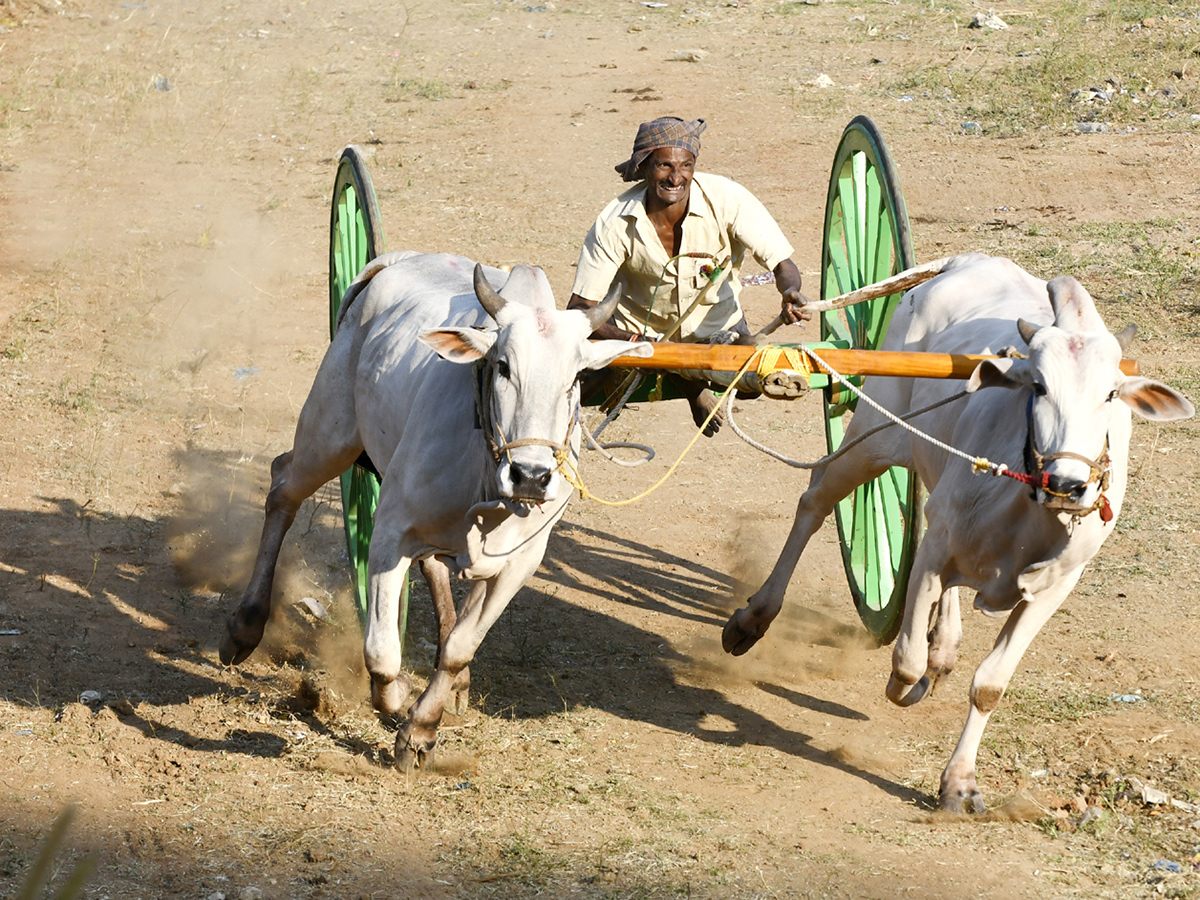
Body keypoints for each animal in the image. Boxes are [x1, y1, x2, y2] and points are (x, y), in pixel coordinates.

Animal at [216, 252, 648, 768]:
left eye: (576, 378)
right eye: (503, 366)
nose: (530, 476)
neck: (485, 472)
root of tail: (398, 259)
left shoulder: (520, 563)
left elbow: (460, 646)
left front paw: (421, 730)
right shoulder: (389, 533)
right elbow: (381, 651)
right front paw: (398, 696)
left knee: (434, 571)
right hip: (330, 433)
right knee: (283, 488)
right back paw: (244, 628)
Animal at [720, 252, 1190, 811]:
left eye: (1112, 393)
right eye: (1038, 385)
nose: (1068, 484)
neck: (1027, 508)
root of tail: (974, 258)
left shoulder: (1052, 589)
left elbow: (989, 685)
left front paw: (959, 782)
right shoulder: (932, 553)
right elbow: (905, 663)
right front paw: (910, 685)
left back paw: (944, 644)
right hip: (872, 435)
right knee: (815, 503)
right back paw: (754, 618)